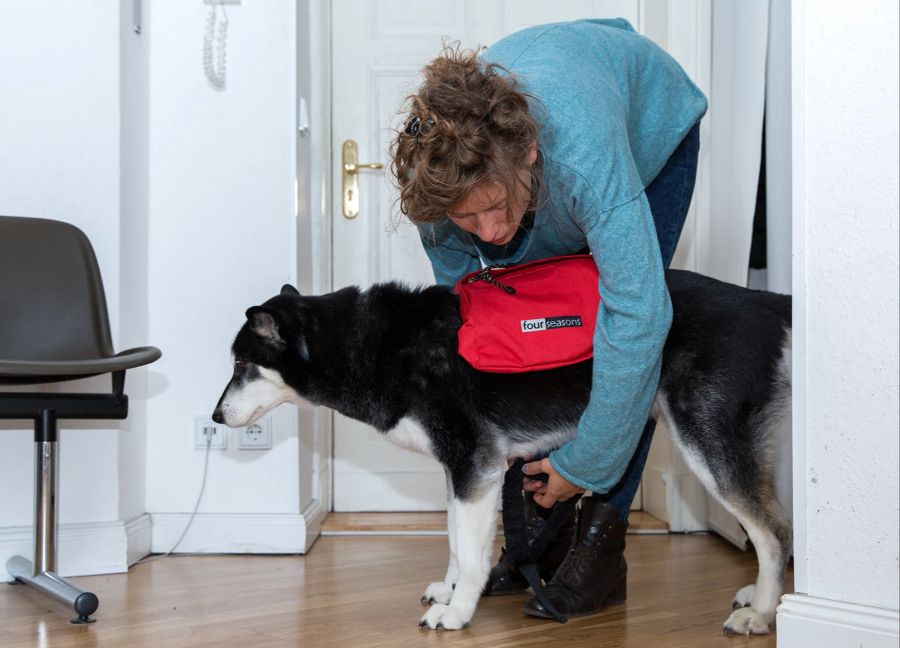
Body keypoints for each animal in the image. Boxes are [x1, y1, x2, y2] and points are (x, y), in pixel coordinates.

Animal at [211, 268, 788, 632]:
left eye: (241, 365)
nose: (215, 419)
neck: (371, 346)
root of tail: (761, 300)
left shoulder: (476, 465)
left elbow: (469, 555)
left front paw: (457, 613)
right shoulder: (466, 473)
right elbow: (455, 542)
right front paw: (451, 592)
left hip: (706, 444)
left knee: (773, 532)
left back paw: (762, 612)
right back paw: (763, 594)